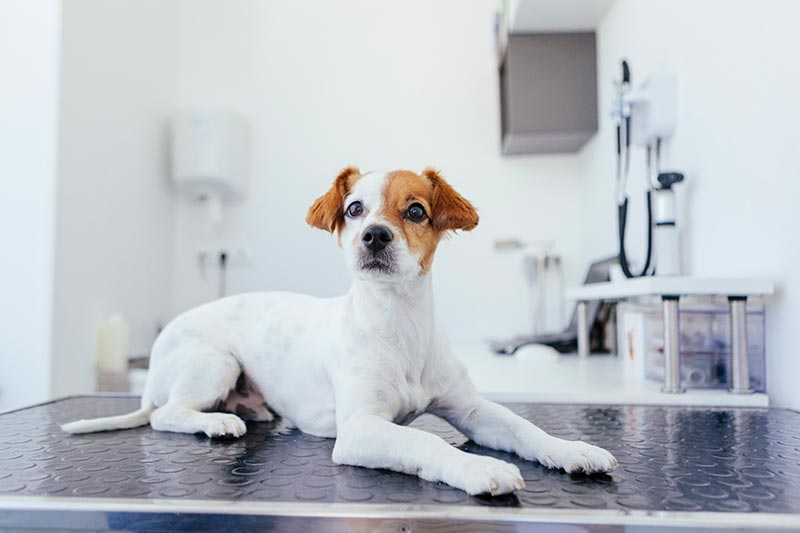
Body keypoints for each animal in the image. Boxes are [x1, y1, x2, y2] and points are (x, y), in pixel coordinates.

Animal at [62, 167, 620, 494]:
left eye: (415, 210)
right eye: (354, 209)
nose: (374, 235)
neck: (398, 324)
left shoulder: (472, 410)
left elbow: (525, 429)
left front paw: (571, 450)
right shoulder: (360, 429)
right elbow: (425, 443)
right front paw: (478, 469)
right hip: (213, 362)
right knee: (166, 415)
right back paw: (216, 422)